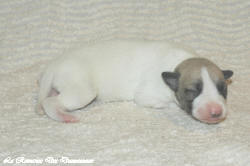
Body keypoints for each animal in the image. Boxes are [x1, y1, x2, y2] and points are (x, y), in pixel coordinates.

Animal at [36, 40, 233, 123]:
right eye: (192, 91)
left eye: (222, 89)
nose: (216, 112)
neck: (179, 63)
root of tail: (53, 65)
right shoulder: (147, 96)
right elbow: (167, 104)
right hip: (82, 90)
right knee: (50, 102)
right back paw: (64, 116)